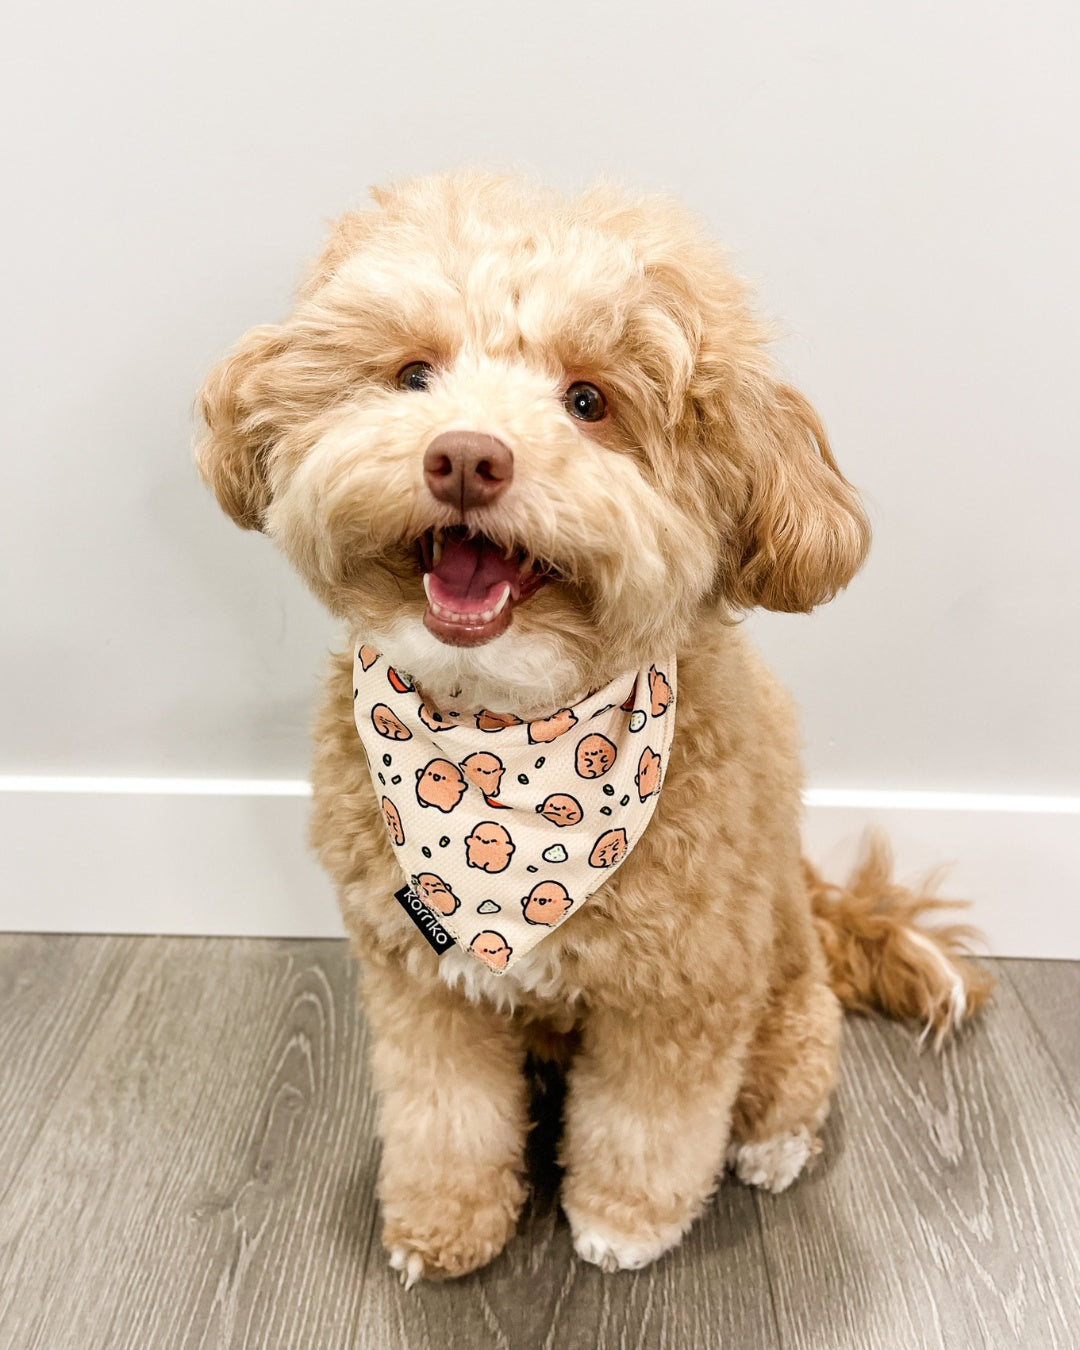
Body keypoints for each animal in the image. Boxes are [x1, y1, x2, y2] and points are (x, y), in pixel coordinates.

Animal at [195, 171, 993, 1285]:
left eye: (589, 402)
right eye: (412, 375)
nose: (466, 458)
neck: (504, 740)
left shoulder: (681, 993)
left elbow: (648, 1126)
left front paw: (624, 1223)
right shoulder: (422, 981)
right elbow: (445, 1113)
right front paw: (444, 1222)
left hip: (786, 1009)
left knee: (788, 1091)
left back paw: (773, 1150)